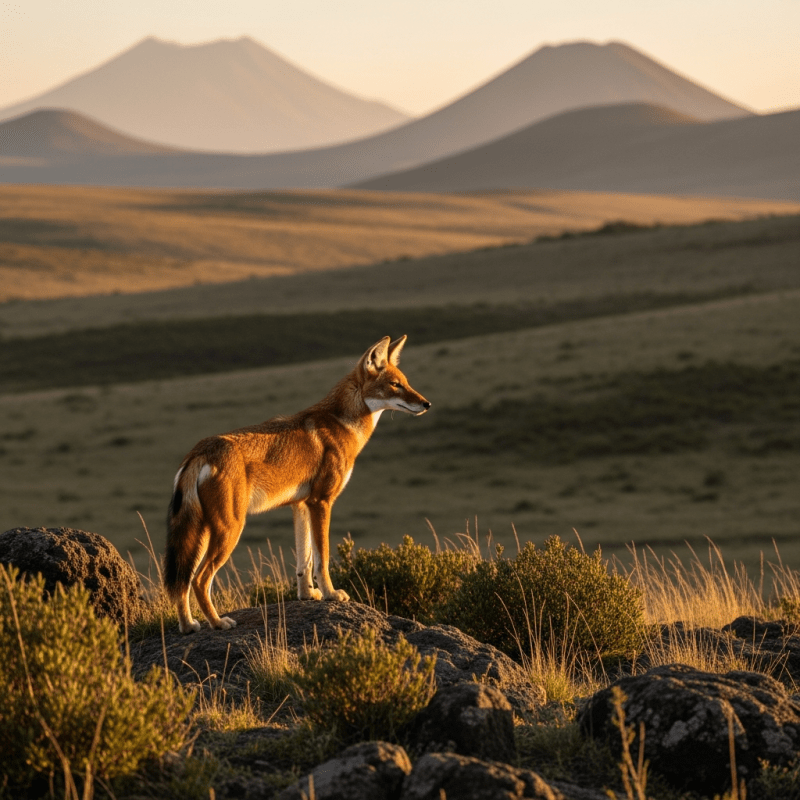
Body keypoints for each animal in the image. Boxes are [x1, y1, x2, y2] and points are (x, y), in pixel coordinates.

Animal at [163, 335, 430, 633]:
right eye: (395, 385)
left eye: (406, 382)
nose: (426, 404)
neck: (343, 423)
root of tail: (200, 450)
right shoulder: (321, 502)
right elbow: (322, 557)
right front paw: (331, 594)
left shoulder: (301, 505)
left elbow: (305, 561)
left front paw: (308, 595)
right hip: (229, 530)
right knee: (199, 580)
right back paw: (219, 622)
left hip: (201, 533)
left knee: (182, 582)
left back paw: (188, 626)